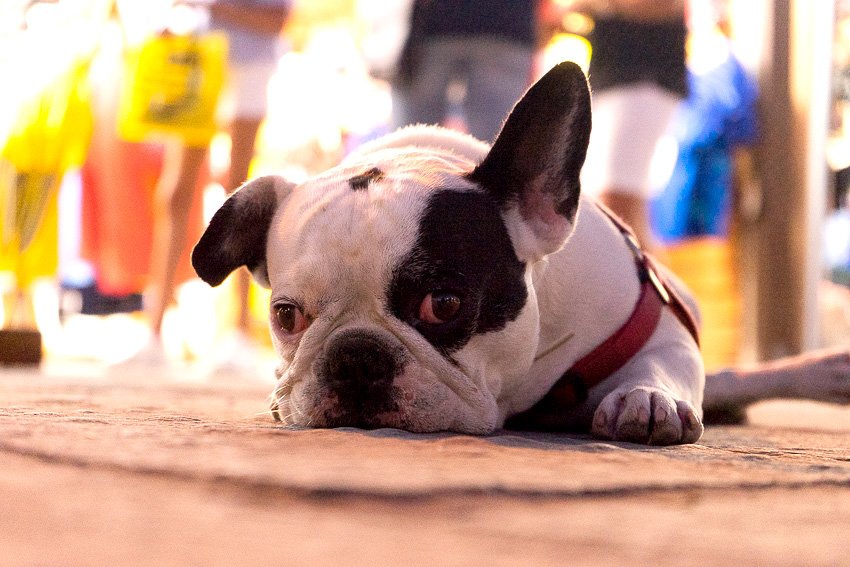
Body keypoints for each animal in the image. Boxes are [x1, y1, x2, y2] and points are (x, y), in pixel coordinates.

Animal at [190, 61, 840, 444]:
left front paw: (648, 396)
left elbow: (669, 360)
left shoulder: (658, 321)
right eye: (285, 316)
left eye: (444, 305)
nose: (355, 356)